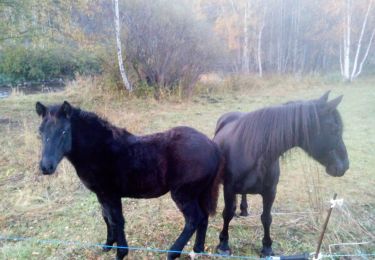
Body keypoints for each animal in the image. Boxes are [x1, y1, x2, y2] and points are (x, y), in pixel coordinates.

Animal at [36, 101, 223, 260]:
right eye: (40, 131)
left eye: (64, 131)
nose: (46, 167)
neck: (99, 150)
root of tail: (212, 145)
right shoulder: (101, 195)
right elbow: (106, 217)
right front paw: (108, 244)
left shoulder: (110, 194)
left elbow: (117, 220)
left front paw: (121, 253)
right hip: (199, 192)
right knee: (204, 217)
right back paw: (197, 250)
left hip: (183, 194)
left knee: (193, 219)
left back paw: (172, 253)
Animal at [213, 91, 352, 256]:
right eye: (334, 129)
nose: (345, 165)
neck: (253, 152)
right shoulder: (229, 188)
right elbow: (227, 213)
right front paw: (223, 244)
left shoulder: (270, 192)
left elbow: (266, 218)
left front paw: (267, 247)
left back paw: (244, 210)